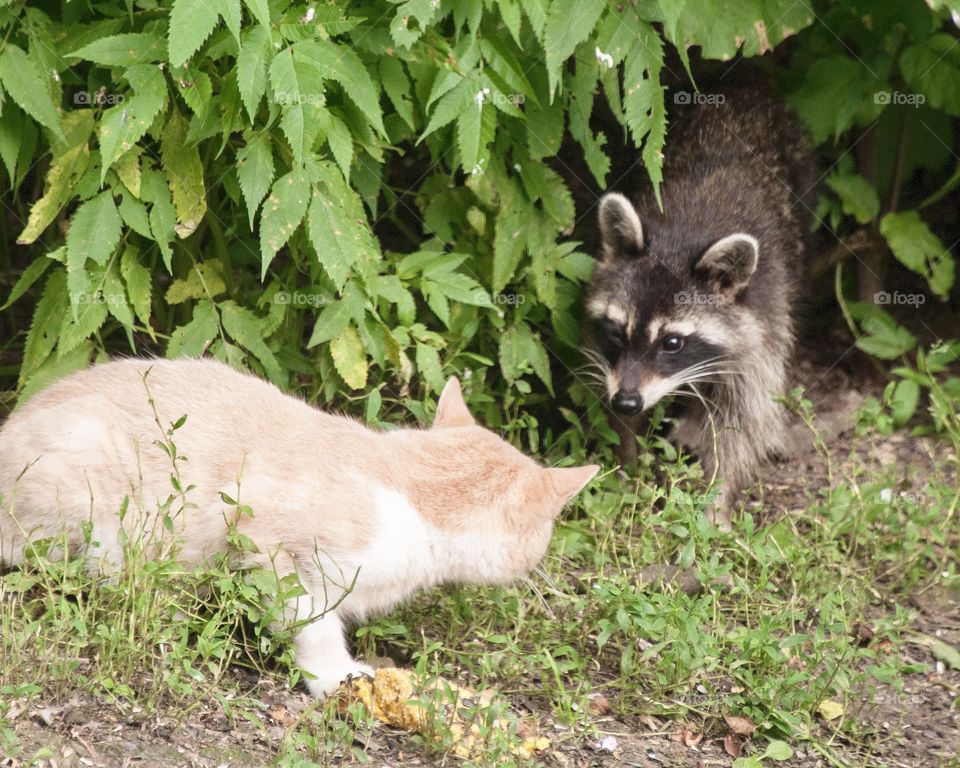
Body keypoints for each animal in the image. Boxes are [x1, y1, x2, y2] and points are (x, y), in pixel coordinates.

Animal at [588, 87, 812, 524]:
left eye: (672, 343)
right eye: (617, 331)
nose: (626, 400)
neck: (680, 238)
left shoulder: (762, 326)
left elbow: (738, 424)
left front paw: (716, 500)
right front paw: (627, 466)